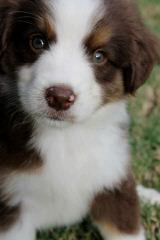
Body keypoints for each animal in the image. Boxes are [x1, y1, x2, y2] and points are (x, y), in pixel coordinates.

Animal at [0, 0, 159, 240]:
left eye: (99, 56)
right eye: (37, 41)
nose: (59, 97)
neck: (65, 137)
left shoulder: (113, 184)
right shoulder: (11, 204)